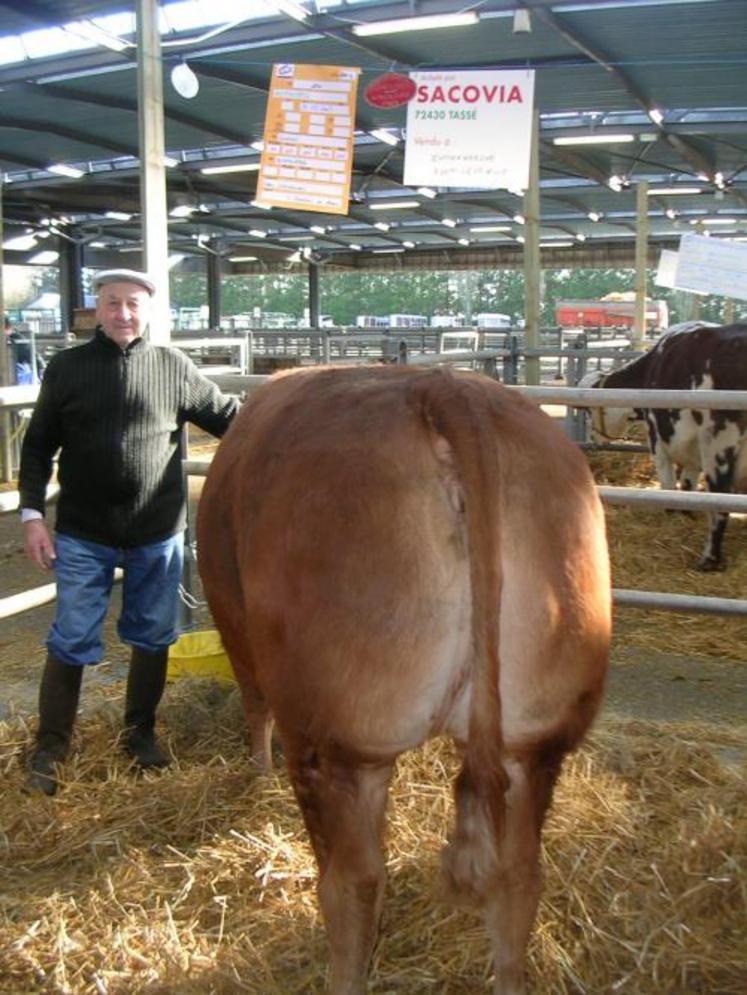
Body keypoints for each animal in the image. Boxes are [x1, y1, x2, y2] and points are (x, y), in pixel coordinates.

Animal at [196, 366, 612, 995]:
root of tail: (444, 388)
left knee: (354, 883)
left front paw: (257, 772)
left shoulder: (236, 631)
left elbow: (253, 705)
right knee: (518, 877)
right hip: (534, 738)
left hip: (338, 740)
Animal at [584, 322, 747, 572]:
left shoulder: (657, 438)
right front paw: (686, 514)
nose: (593, 437)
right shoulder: (692, 451)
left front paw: (671, 511)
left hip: (718, 446)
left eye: (590, 411)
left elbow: (669, 483)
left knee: (720, 505)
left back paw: (709, 560)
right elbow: (688, 484)